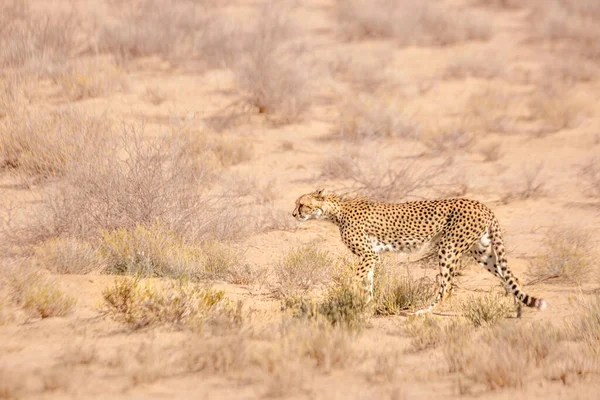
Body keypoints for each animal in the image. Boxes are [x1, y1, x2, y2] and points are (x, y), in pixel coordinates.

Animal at [292, 189, 548, 318]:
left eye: (301, 204)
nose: (293, 214)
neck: (336, 210)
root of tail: (481, 204)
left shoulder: (368, 255)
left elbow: (356, 280)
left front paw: (349, 299)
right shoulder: (371, 256)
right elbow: (368, 284)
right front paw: (367, 307)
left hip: (448, 248)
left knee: (447, 288)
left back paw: (422, 312)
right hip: (482, 252)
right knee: (513, 278)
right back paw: (517, 312)